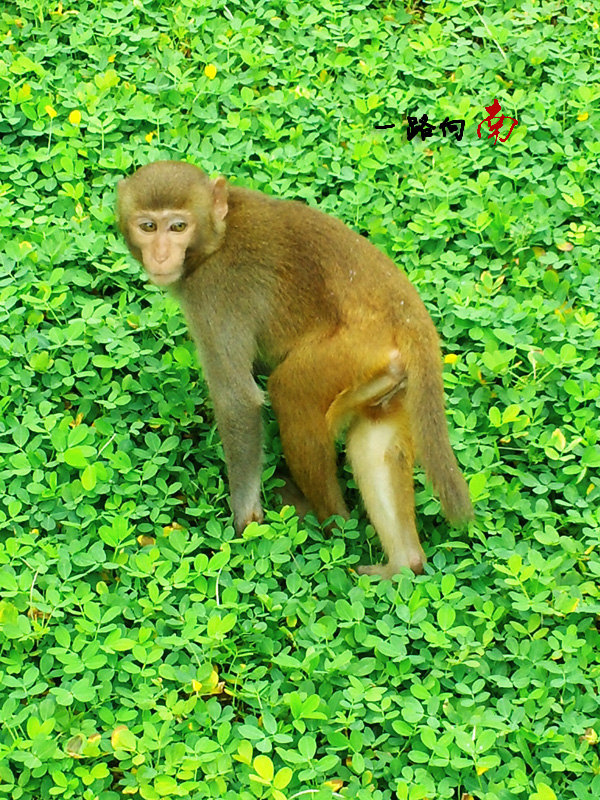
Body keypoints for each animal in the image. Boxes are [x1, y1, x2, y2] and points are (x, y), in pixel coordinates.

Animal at [117, 159, 474, 580]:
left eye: (177, 227)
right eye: (148, 226)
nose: (160, 256)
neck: (217, 236)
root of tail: (410, 318)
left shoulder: (215, 293)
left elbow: (238, 400)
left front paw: (245, 522)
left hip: (348, 352)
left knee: (289, 391)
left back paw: (330, 525)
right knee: (373, 442)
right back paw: (404, 563)